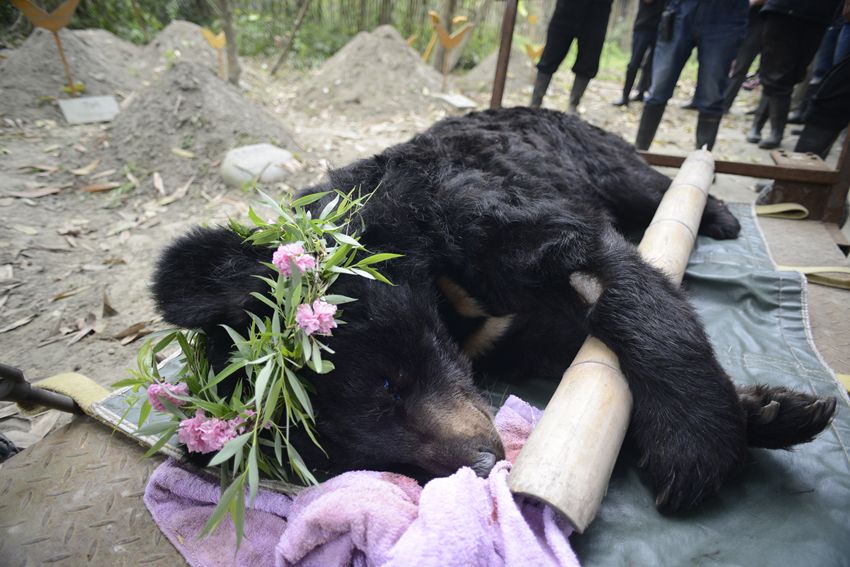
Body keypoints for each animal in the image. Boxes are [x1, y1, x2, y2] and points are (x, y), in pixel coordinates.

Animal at [154, 107, 836, 516]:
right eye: (349, 463)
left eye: (390, 382)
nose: (485, 461)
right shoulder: (509, 335)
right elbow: (568, 345)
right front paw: (772, 411)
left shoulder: (478, 209)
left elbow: (599, 268)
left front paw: (695, 447)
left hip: (595, 156)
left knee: (649, 186)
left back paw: (718, 216)